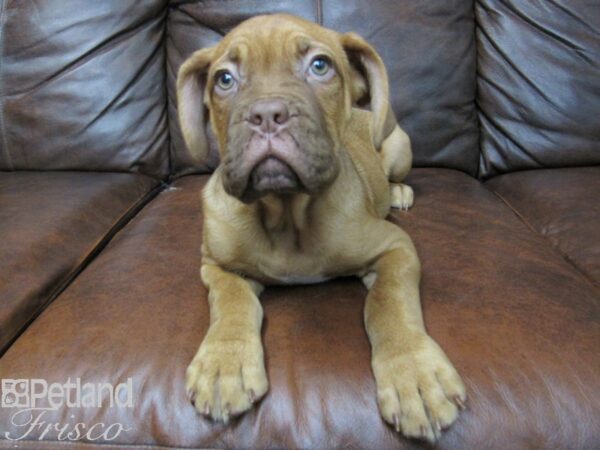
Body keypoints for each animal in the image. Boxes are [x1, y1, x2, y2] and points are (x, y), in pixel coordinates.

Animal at [176, 13, 466, 442]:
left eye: (319, 66)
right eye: (224, 79)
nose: (267, 114)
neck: (287, 215)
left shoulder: (395, 247)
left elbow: (389, 303)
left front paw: (413, 373)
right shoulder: (218, 266)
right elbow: (231, 303)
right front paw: (224, 363)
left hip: (398, 145)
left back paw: (398, 191)